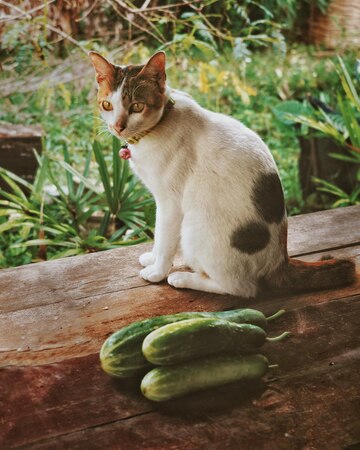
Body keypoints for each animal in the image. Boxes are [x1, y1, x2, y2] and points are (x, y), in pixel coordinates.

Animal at [89, 51, 354, 298]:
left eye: (137, 106)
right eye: (107, 105)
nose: (118, 127)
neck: (158, 123)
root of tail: (281, 261)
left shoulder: (169, 203)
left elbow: (164, 239)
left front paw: (157, 272)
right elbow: (158, 236)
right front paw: (151, 258)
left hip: (194, 226)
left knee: (242, 289)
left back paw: (183, 278)